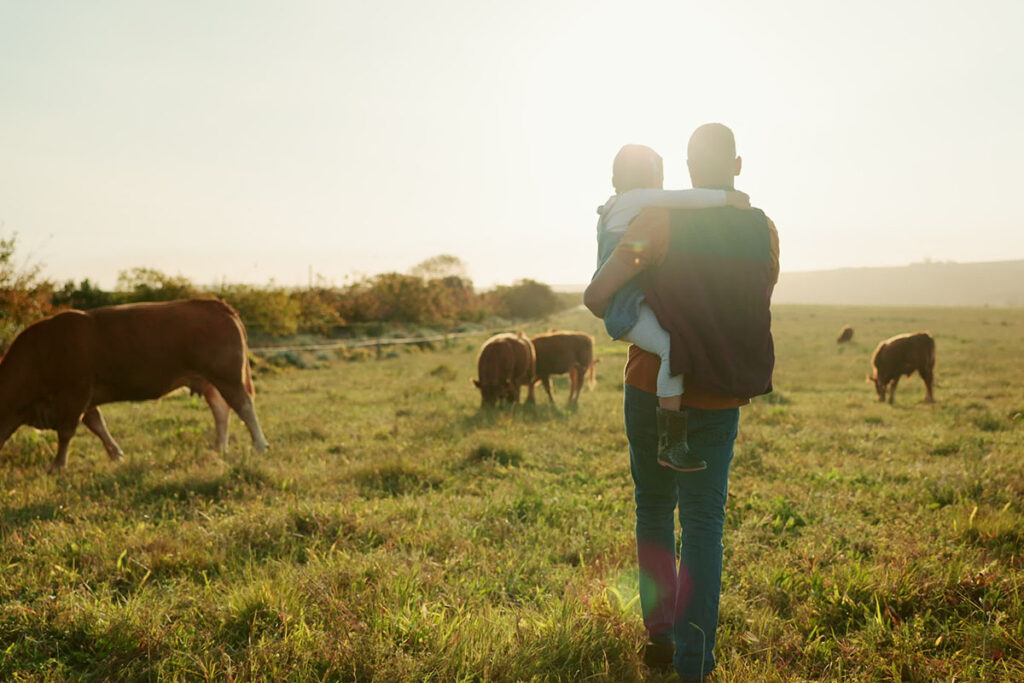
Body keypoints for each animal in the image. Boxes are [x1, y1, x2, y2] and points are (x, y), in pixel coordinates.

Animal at [0, 301, 270, 475]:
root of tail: (216, 304)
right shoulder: (85, 399)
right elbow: (97, 425)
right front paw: (116, 455)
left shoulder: (75, 393)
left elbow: (66, 433)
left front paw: (57, 466)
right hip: (210, 382)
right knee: (221, 410)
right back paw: (219, 448)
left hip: (227, 376)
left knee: (244, 406)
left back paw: (260, 445)